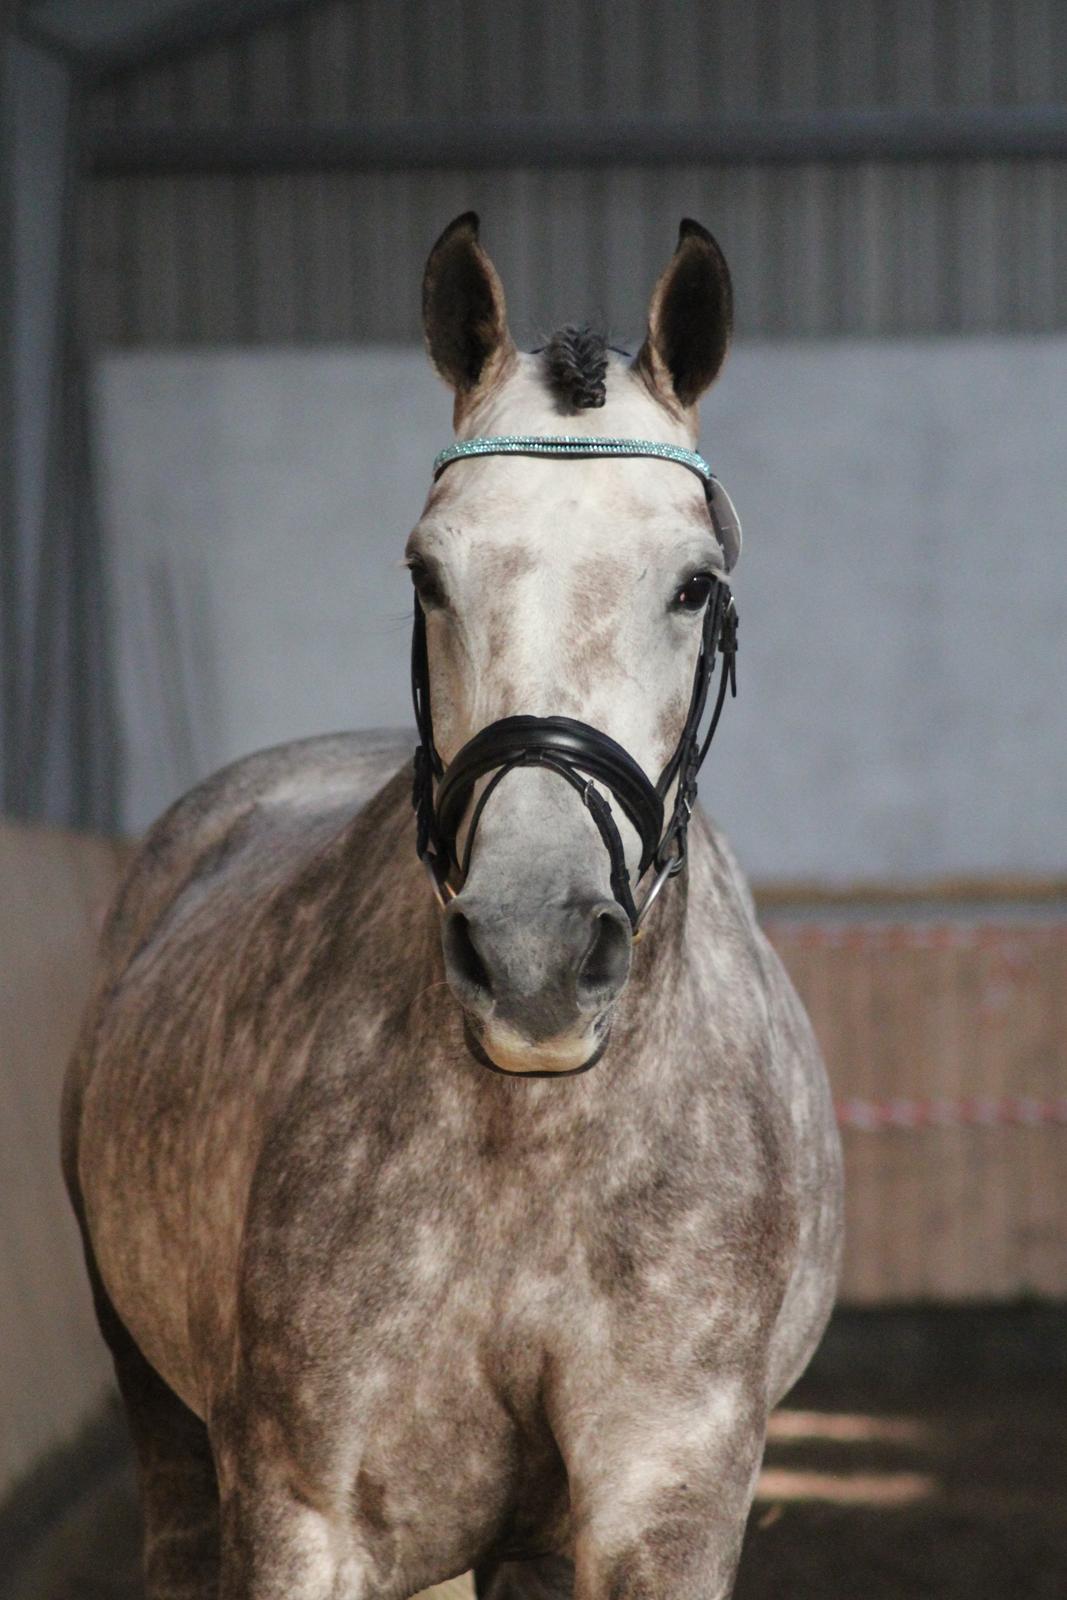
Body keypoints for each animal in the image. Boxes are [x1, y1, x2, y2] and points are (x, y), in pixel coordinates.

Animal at [62, 216, 844, 1600]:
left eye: (693, 584)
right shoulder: (302, 1519)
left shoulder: (668, 1512)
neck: (531, 1149)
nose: (534, 956)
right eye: (428, 571)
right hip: (159, 1417)